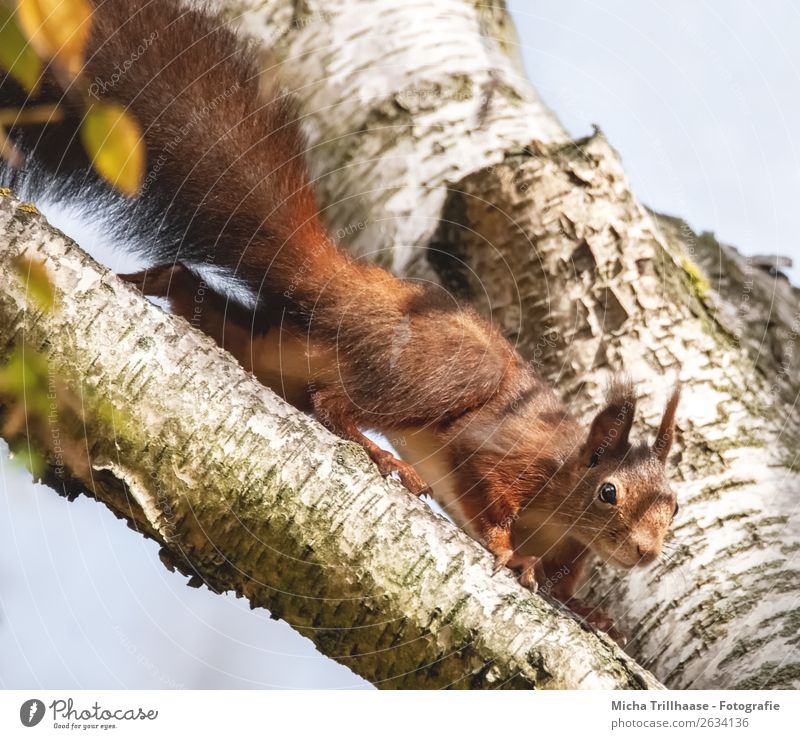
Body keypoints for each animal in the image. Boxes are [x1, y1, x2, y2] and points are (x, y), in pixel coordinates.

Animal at [1, 0, 680, 636]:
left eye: (673, 507)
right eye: (609, 492)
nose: (646, 554)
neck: (565, 502)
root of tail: (351, 286)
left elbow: (568, 581)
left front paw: (587, 608)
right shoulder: (508, 452)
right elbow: (485, 487)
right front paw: (511, 553)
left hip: (281, 350)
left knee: (216, 306)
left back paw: (147, 283)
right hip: (440, 371)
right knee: (337, 403)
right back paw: (384, 455)